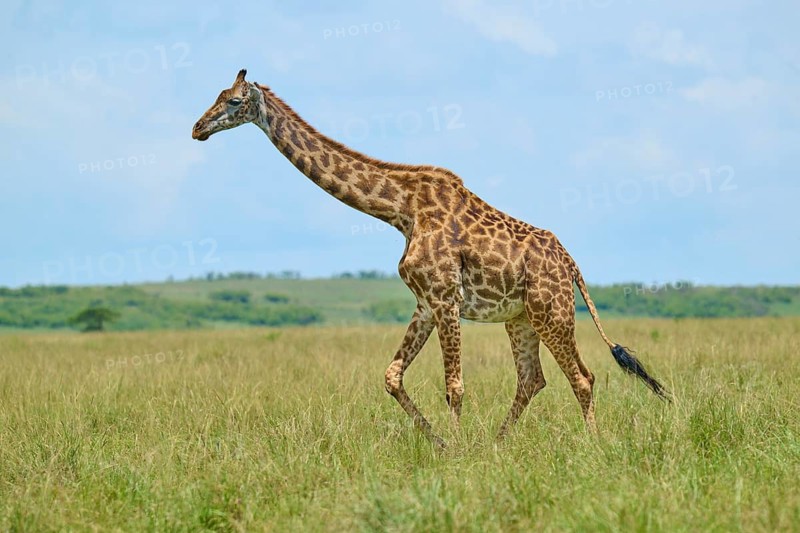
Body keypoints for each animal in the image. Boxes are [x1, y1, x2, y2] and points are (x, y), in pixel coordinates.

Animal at [192, 69, 671, 446]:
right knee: (532, 378)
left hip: (551, 310)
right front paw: (440, 443)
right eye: (216, 93)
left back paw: (592, 445)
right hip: (520, 317)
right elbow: (392, 375)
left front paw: (455, 450)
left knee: (582, 377)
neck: (401, 210)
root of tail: (571, 265)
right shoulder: (424, 301)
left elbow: (453, 385)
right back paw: (496, 444)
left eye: (233, 101)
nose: (197, 128)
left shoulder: (445, 298)